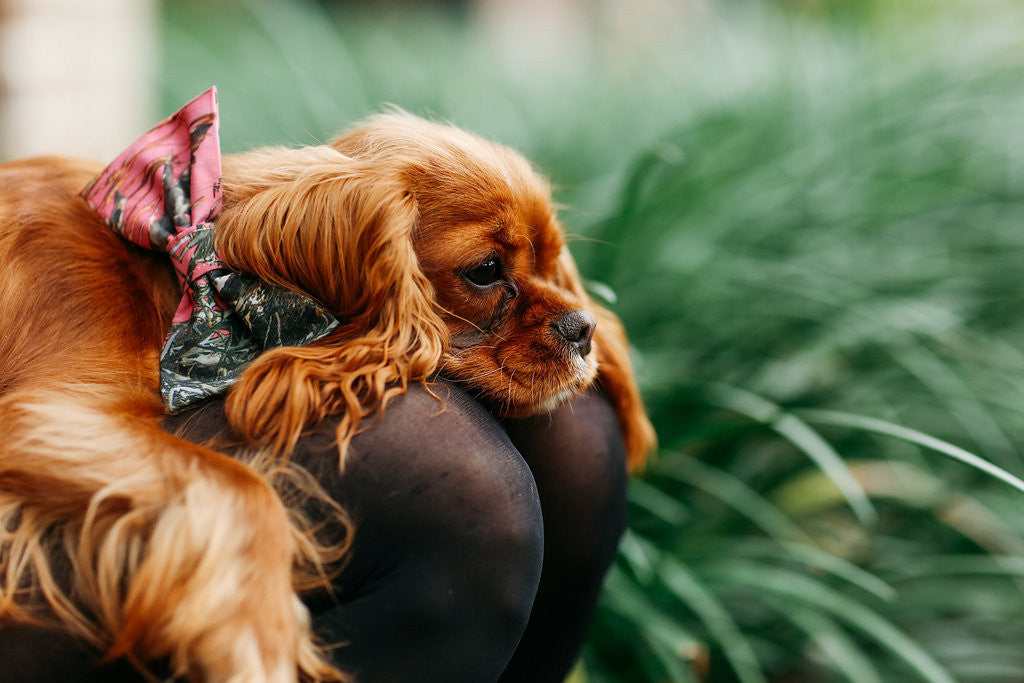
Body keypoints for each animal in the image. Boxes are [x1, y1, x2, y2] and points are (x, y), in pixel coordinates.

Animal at [0, 102, 655, 683]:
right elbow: (242, 488)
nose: (583, 329)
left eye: (551, 261)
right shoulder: (41, 412)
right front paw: (260, 637)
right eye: (486, 272)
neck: (175, 278)